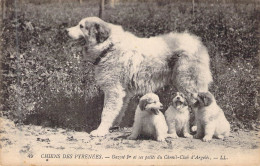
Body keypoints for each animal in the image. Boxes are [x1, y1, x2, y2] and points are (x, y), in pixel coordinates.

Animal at [66, 16, 211, 136]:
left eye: (81, 26)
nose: (66, 30)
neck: (108, 47)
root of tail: (198, 43)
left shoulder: (113, 90)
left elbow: (106, 112)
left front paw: (100, 130)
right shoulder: (122, 93)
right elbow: (117, 112)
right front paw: (112, 127)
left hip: (189, 85)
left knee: (199, 104)